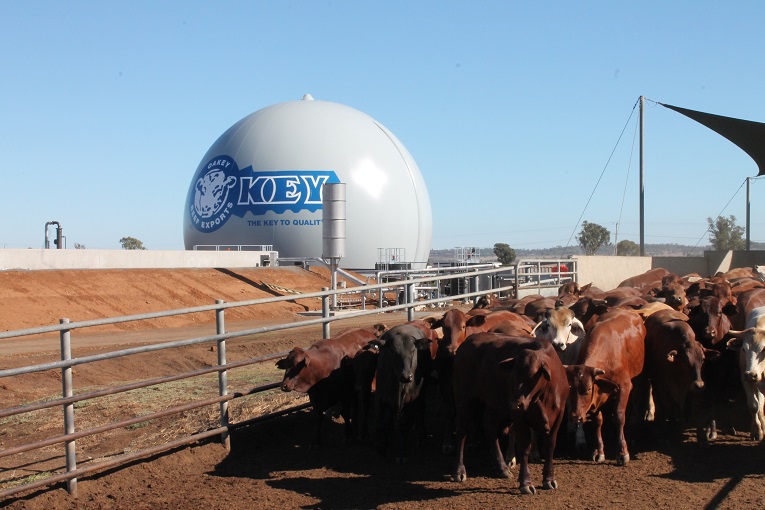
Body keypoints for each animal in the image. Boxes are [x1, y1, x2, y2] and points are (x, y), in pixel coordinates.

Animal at [450, 330, 572, 494]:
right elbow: (524, 447)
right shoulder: (519, 416)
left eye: (532, 377)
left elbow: (550, 447)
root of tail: (467, 341)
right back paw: (459, 471)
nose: (515, 403)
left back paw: (502, 468)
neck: (542, 396)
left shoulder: (559, 414)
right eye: (512, 376)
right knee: (462, 432)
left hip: (493, 403)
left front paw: (549, 479)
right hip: (464, 400)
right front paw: (525, 483)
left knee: (490, 428)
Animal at [568, 308, 644, 464]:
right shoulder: (597, 396)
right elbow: (598, 421)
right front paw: (599, 451)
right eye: (571, 388)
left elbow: (619, 417)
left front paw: (622, 452)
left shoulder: (624, 386)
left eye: (588, 389)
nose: (575, 417)